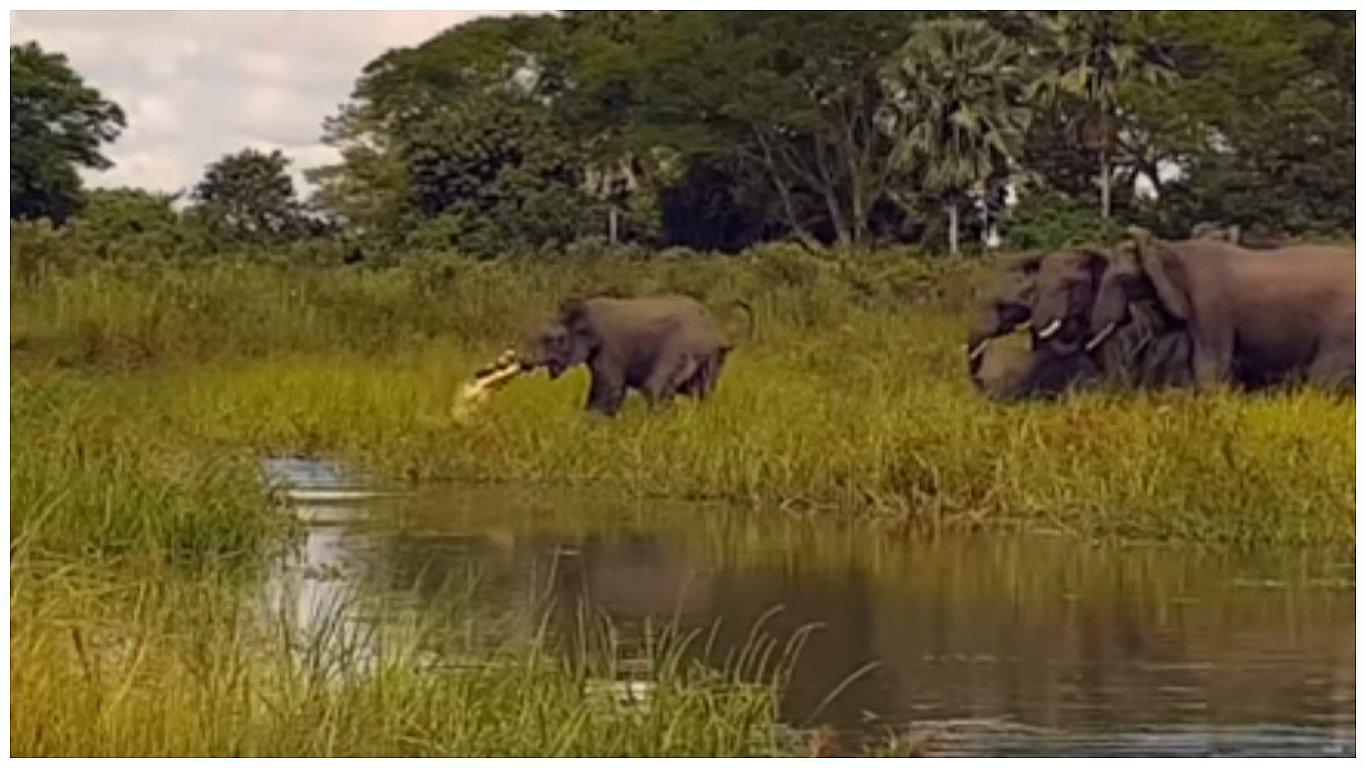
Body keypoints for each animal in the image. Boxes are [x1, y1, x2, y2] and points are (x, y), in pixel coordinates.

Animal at [517, 294, 733, 416]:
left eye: (553, 340)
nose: (523, 361)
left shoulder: (609, 348)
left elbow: (610, 388)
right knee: (703, 394)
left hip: (683, 350)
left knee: (656, 389)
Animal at [1087, 234, 1354, 391]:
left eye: (1122, 279)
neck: (1169, 247)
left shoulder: (1210, 303)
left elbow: (1210, 362)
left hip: (1343, 324)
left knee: (1325, 376)